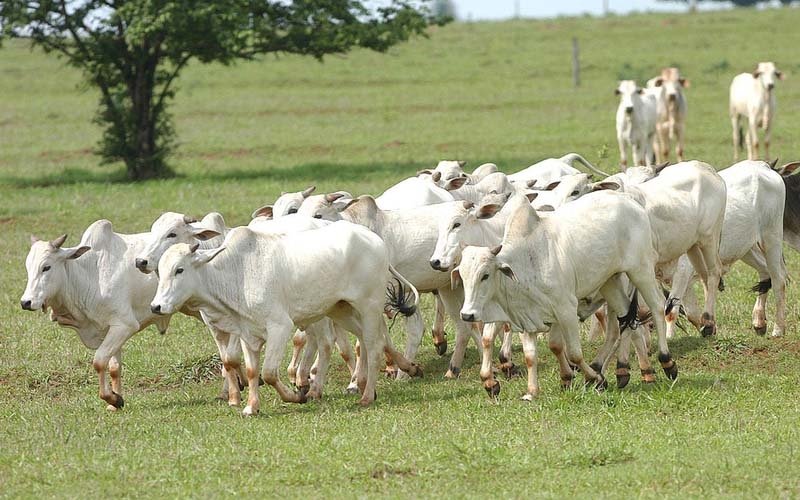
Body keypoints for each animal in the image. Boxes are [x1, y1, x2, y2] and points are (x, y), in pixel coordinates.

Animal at [21, 222, 170, 410]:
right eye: (28, 268)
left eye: (46, 267)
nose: (26, 302)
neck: (90, 276)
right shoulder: (110, 329)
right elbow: (114, 367)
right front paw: (115, 402)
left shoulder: (125, 325)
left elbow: (99, 362)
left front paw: (113, 398)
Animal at [152, 222, 422, 414]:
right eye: (160, 272)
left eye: (179, 269)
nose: (156, 306)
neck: (237, 274)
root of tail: (375, 239)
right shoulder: (246, 333)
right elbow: (252, 371)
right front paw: (251, 406)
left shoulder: (280, 327)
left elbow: (270, 372)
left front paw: (296, 396)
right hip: (340, 309)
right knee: (369, 340)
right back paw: (406, 369)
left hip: (369, 306)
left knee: (374, 345)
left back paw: (366, 395)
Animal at [454, 191, 672, 394]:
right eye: (462, 276)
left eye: (485, 275)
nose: (467, 314)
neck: (526, 260)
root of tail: (629, 200)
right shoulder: (529, 316)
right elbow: (533, 354)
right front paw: (533, 391)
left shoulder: (565, 309)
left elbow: (574, 352)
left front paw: (593, 378)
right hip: (610, 282)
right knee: (626, 320)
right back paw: (620, 370)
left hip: (640, 269)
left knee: (656, 307)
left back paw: (665, 361)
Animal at [668, 162, 788, 338]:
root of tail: (762, 166)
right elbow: (689, 312)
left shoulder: (682, 271)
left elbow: (671, 312)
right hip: (747, 248)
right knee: (765, 273)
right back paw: (759, 321)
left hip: (771, 238)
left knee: (779, 280)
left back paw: (778, 329)